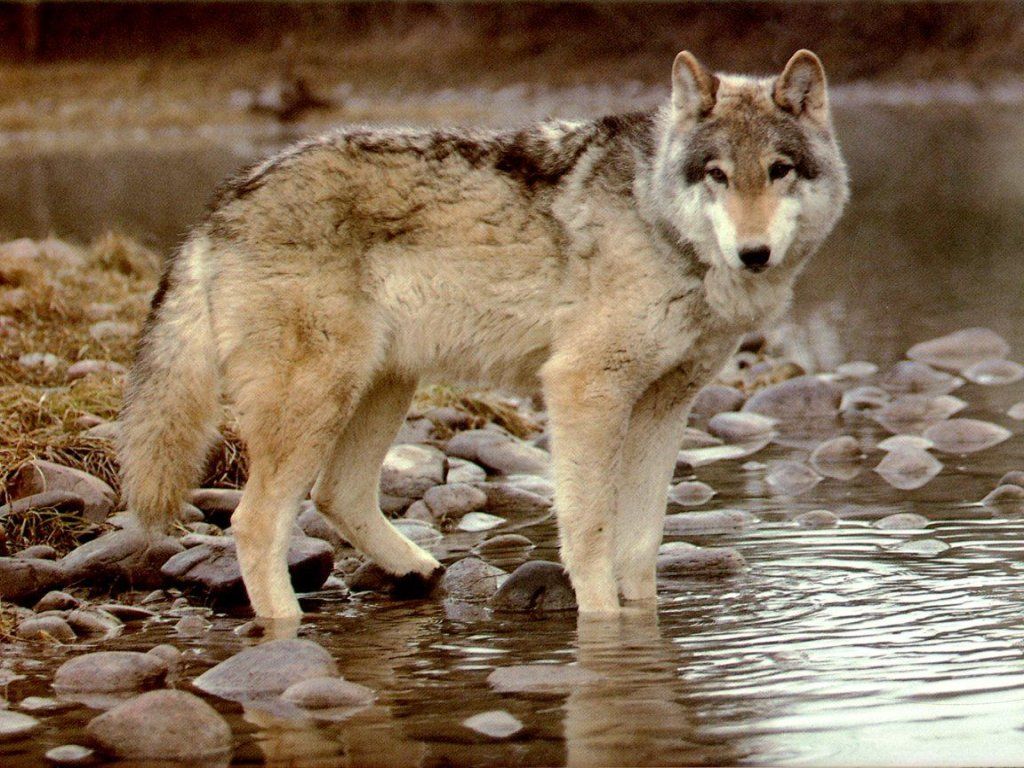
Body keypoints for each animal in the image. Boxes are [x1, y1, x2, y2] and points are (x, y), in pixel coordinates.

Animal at [119, 50, 848, 617]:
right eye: (717, 174)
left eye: (779, 170)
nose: (754, 253)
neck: (659, 222)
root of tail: (221, 203)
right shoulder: (583, 389)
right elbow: (590, 533)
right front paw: (602, 625)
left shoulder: (664, 407)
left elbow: (641, 545)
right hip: (317, 400)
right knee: (256, 523)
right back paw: (286, 634)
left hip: (384, 386)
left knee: (337, 495)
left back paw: (417, 571)